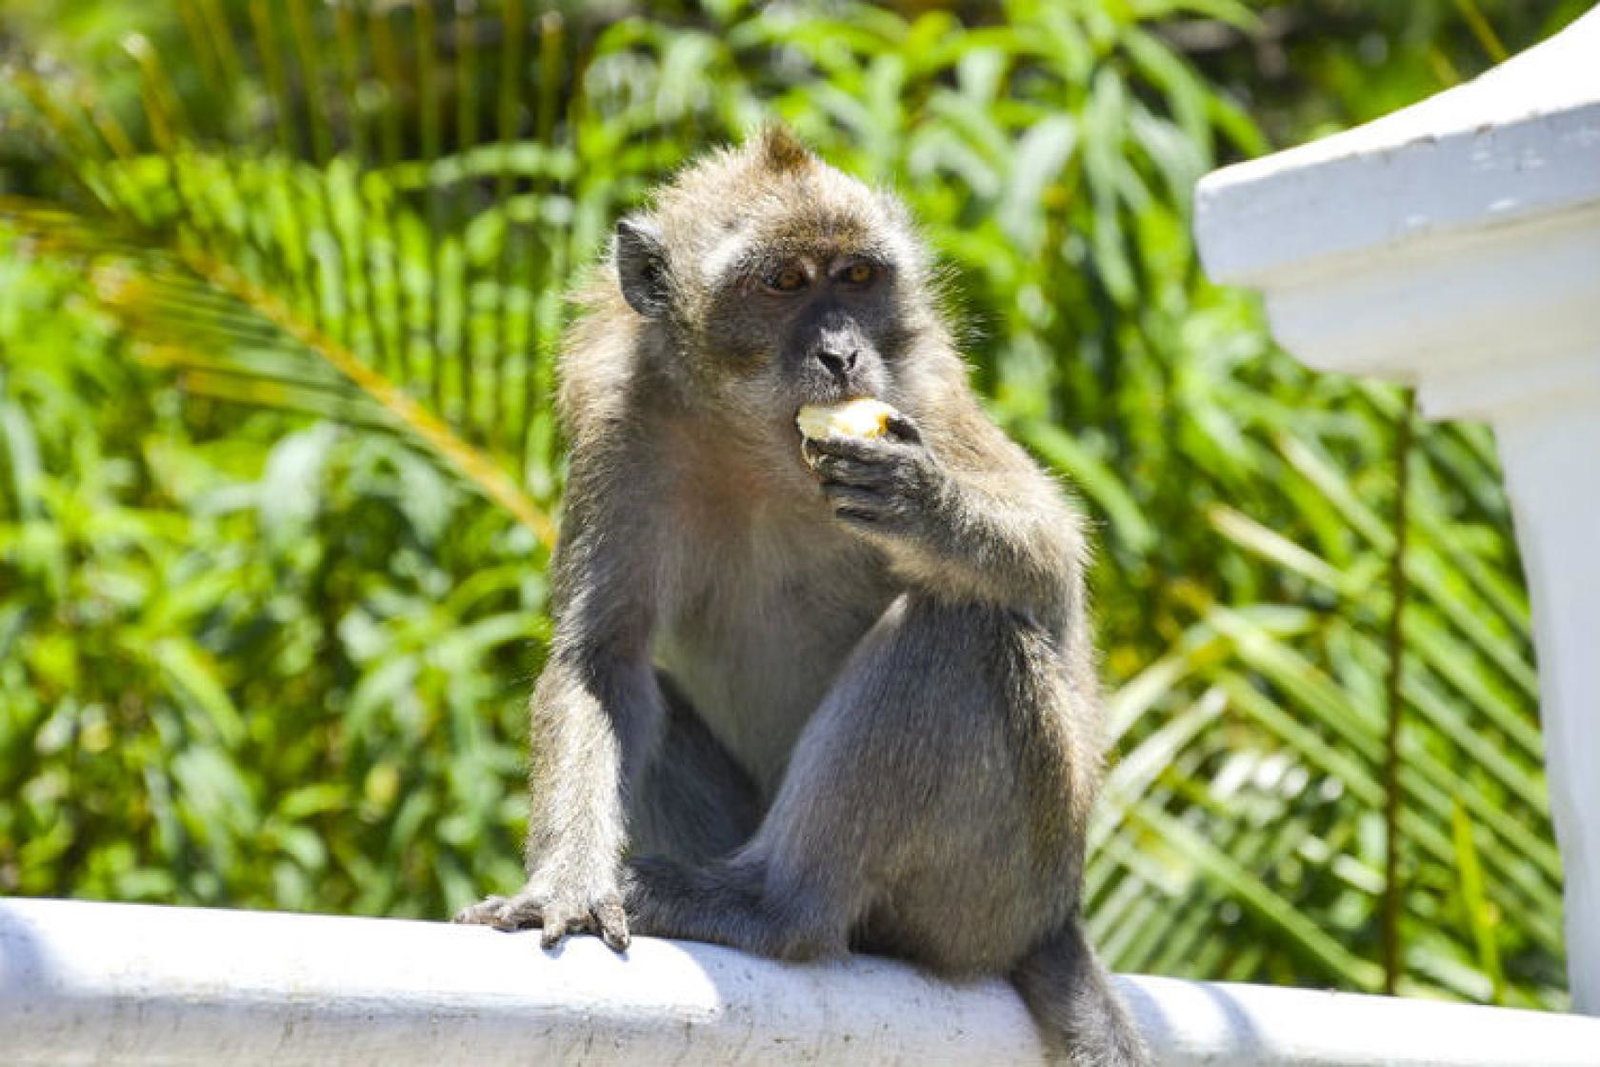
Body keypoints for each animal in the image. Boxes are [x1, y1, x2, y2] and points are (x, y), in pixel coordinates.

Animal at [455, 126, 1149, 1067]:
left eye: (856, 276)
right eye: (784, 283)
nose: (842, 354)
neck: (759, 437)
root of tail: (1056, 914)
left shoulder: (922, 389)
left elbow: (1053, 563)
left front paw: (923, 503)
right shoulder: (621, 419)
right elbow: (603, 659)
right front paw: (564, 884)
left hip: (1000, 883)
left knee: (962, 628)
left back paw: (773, 907)